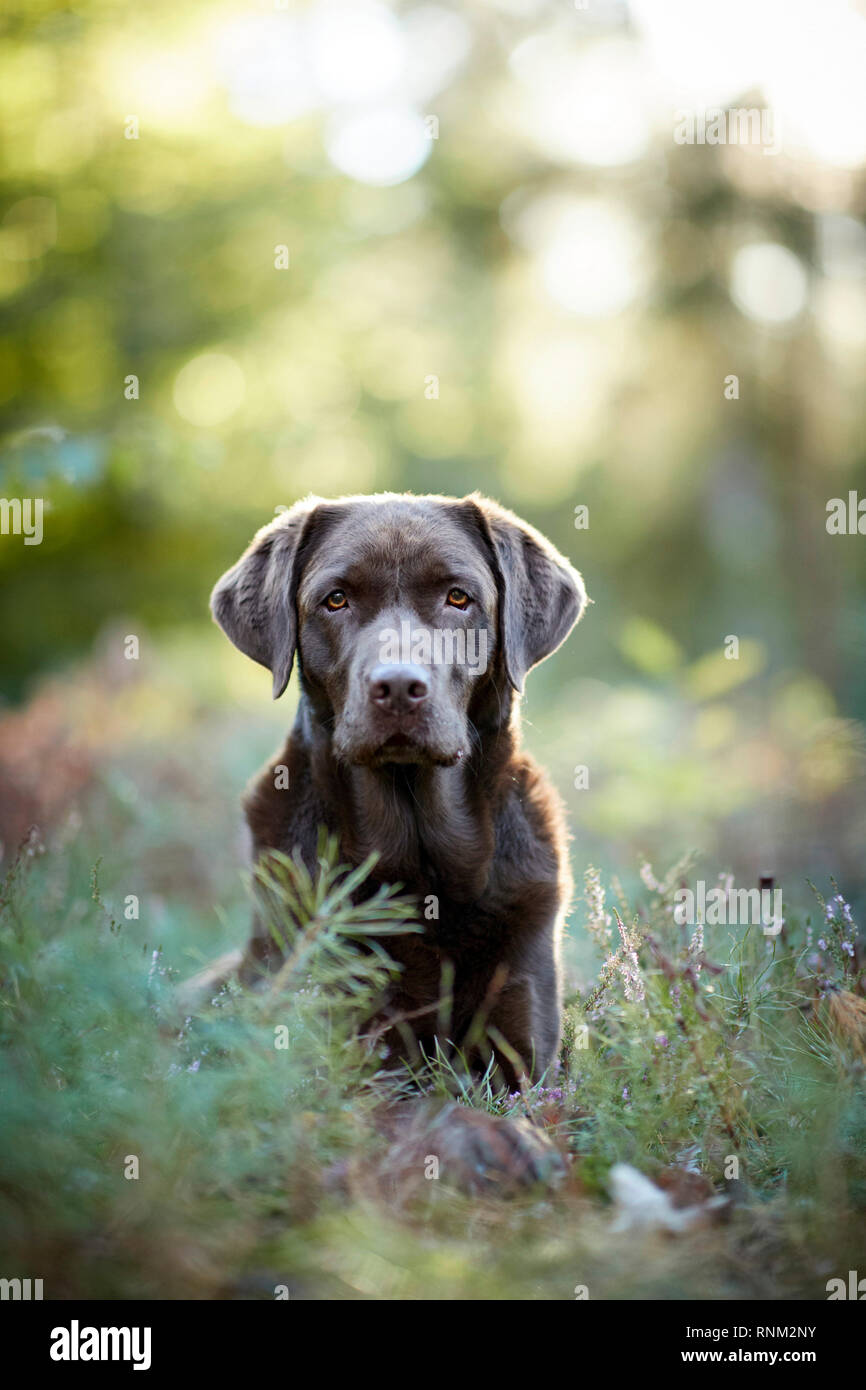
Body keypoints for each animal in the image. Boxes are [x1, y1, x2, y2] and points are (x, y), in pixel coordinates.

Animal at [184, 489, 586, 1173]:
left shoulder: (529, 1051)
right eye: (336, 600)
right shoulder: (335, 1063)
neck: (423, 871)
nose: (398, 685)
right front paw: (491, 1139)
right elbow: (410, 1106)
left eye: (458, 597)